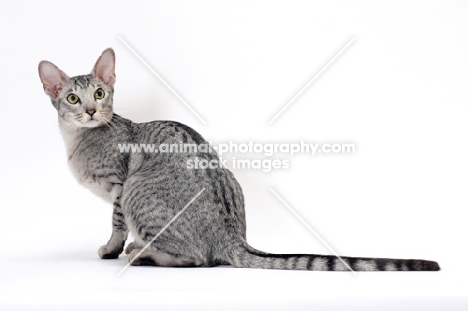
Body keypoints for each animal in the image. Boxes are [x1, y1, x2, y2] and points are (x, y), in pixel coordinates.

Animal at [38, 47, 440, 272]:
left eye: (100, 93)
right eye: (72, 98)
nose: (91, 110)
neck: (78, 140)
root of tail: (233, 238)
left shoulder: (120, 186)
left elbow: (116, 225)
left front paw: (111, 248)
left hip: (140, 187)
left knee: (195, 258)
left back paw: (142, 253)